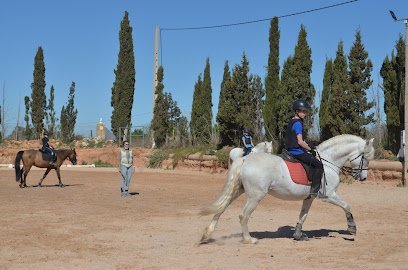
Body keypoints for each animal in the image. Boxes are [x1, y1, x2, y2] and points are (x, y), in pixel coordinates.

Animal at [199, 135, 374, 243]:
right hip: (255, 196)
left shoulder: (309, 198)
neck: (328, 161)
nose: (363, 178)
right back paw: (249, 240)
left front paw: (297, 235)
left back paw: (207, 234)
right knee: (243, 216)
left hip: (238, 190)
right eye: (365, 157)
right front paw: (352, 228)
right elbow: (346, 206)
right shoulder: (329, 195)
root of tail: (246, 159)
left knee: (221, 209)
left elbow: (303, 216)